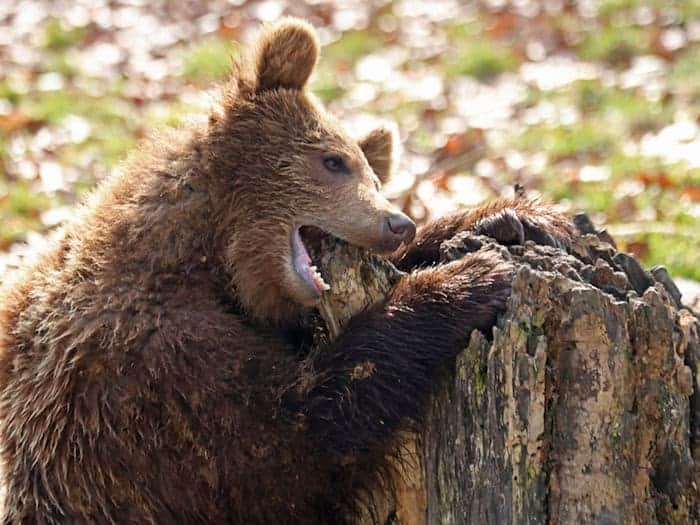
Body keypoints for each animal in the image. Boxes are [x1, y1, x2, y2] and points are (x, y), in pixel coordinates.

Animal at [0, 18, 574, 525]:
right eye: (332, 161)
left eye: (372, 175)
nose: (399, 223)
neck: (205, 256)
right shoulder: (140, 380)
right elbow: (292, 431)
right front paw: (471, 278)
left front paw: (516, 220)